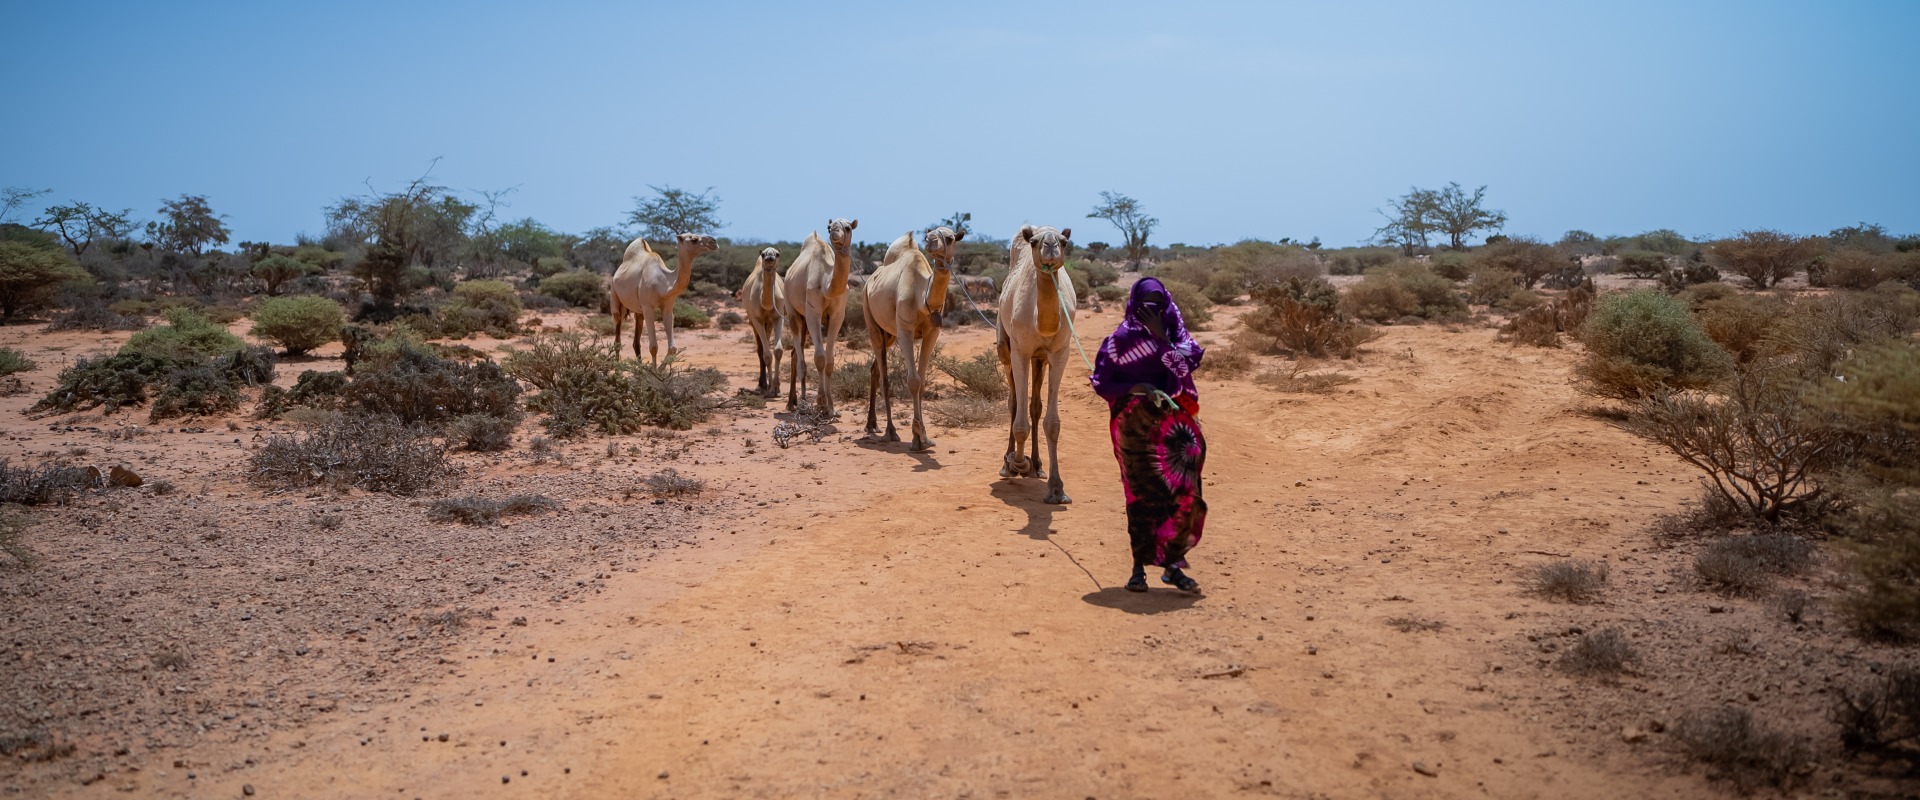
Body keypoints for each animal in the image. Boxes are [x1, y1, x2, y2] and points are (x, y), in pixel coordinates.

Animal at [610, 230, 718, 360]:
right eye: (694, 239)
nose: (714, 242)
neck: (662, 283)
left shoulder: (667, 307)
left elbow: (672, 348)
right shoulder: (648, 307)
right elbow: (653, 347)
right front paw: (655, 366)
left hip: (638, 310)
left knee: (636, 341)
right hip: (615, 299)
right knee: (617, 337)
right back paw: (616, 365)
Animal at [737, 243, 791, 393]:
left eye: (777, 254)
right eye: (763, 254)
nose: (769, 258)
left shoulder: (778, 317)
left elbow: (778, 351)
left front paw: (776, 386)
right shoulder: (757, 319)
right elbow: (766, 354)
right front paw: (770, 388)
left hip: (769, 323)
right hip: (753, 322)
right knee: (760, 349)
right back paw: (762, 384)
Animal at [787, 219, 864, 414]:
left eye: (848, 228)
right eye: (829, 227)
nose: (834, 231)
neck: (826, 285)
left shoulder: (837, 316)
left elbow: (829, 361)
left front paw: (830, 407)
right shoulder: (813, 313)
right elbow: (820, 358)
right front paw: (821, 401)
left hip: (804, 319)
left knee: (795, 353)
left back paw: (796, 400)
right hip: (792, 311)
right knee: (799, 356)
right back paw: (797, 402)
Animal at [867, 224, 967, 448]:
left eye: (950, 238)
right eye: (929, 234)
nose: (931, 240)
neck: (922, 297)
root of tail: (870, 279)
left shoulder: (933, 332)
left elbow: (921, 383)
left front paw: (924, 436)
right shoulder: (905, 330)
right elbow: (913, 381)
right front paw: (917, 438)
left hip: (889, 333)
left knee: (875, 370)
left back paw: (871, 425)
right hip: (871, 320)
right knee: (885, 377)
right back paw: (890, 431)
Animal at [998, 221, 1075, 502]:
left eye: (1064, 242)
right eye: (1034, 242)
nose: (1050, 245)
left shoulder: (1060, 352)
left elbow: (1052, 423)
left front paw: (1056, 488)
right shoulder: (1020, 351)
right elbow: (1019, 420)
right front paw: (1018, 463)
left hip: (1039, 359)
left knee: (1034, 406)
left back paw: (1038, 465)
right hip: (1005, 347)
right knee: (1014, 402)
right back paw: (1009, 462)